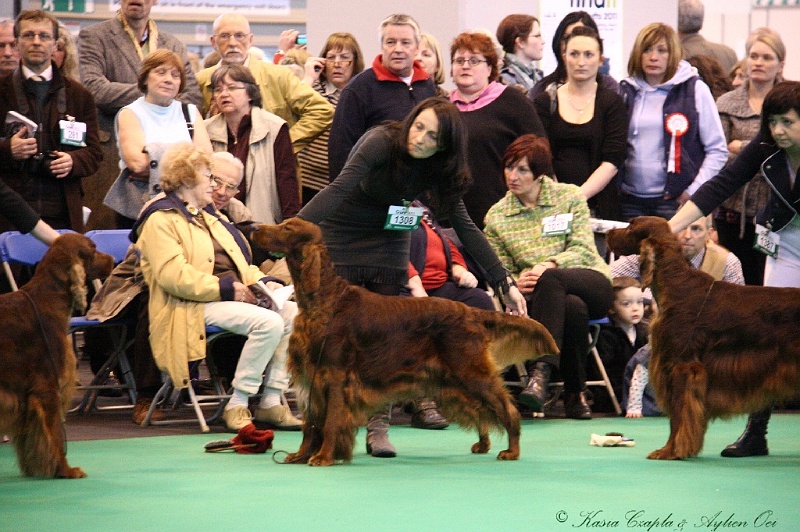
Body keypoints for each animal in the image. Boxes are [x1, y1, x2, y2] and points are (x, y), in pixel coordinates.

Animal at [0, 234, 114, 478]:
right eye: (93, 250)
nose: (111, 259)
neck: (47, 299)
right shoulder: (47, 386)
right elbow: (55, 436)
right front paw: (65, 469)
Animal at [253, 217, 560, 466]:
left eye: (288, 228)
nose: (255, 228)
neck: (324, 299)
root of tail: (471, 312)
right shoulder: (311, 378)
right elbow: (311, 425)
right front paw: (301, 455)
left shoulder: (335, 376)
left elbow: (329, 422)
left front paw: (324, 457)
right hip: (453, 381)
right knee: (480, 410)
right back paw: (484, 444)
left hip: (471, 373)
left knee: (507, 409)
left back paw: (512, 451)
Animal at [608, 215, 800, 458]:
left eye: (631, 226)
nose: (608, 233)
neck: (676, 286)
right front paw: (671, 449)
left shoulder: (683, 367)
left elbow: (679, 414)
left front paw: (673, 451)